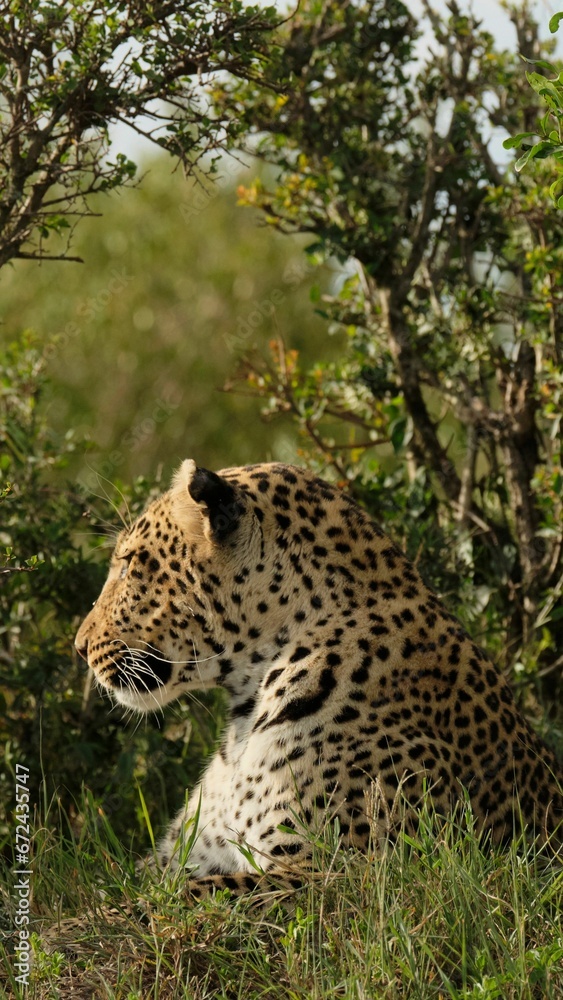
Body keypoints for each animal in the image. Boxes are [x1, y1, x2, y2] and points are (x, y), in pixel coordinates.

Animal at [75, 459, 563, 898]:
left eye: (129, 565)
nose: (79, 646)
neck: (244, 719)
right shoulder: (180, 856)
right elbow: (102, 891)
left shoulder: (343, 872)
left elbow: (175, 899)